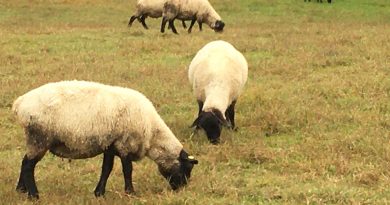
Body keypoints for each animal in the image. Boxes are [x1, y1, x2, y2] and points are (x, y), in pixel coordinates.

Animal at [12, 80, 198, 199]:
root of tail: (19, 104)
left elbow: (106, 169)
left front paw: (99, 193)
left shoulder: (110, 145)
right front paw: (130, 192)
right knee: (28, 165)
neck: (152, 134)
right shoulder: (124, 144)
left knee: (24, 162)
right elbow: (127, 170)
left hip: (34, 140)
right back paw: (34, 195)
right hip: (39, 138)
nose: (180, 189)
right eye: (187, 169)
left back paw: (21, 190)